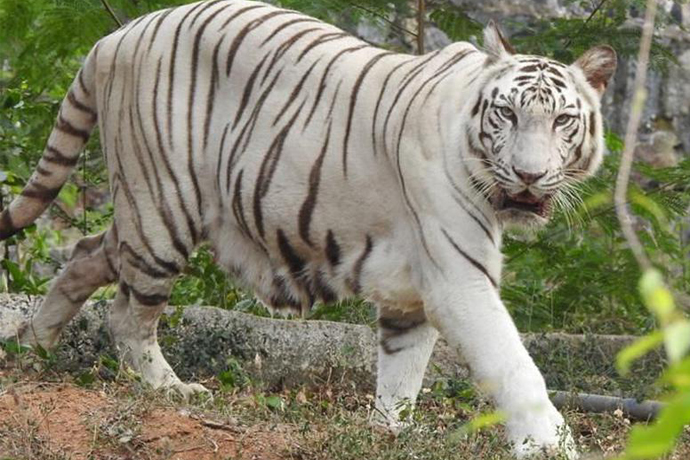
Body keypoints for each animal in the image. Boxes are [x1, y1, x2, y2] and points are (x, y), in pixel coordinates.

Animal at [0, 1, 612, 458]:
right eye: (506, 114)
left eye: (563, 120)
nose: (529, 175)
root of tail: (116, 36)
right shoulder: (457, 277)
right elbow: (512, 362)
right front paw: (551, 445)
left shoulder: (412, 289)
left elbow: (403, 365)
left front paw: (391, 430)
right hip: (162, 207)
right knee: (128, 313)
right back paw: (170, 388)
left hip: (144, 212)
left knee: (86, 254)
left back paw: (33, 347)